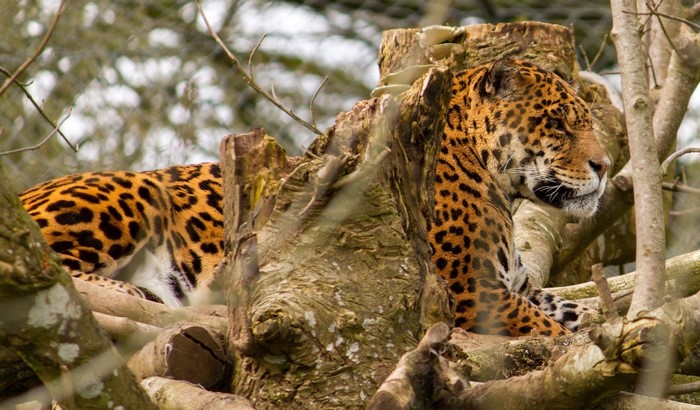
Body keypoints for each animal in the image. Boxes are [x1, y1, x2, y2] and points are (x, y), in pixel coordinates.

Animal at [428, 58, 610, 336]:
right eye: (556, 124)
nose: (604, 166)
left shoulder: (522, 287)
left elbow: (570, 308)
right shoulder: (472, 292)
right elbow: (549, 328)